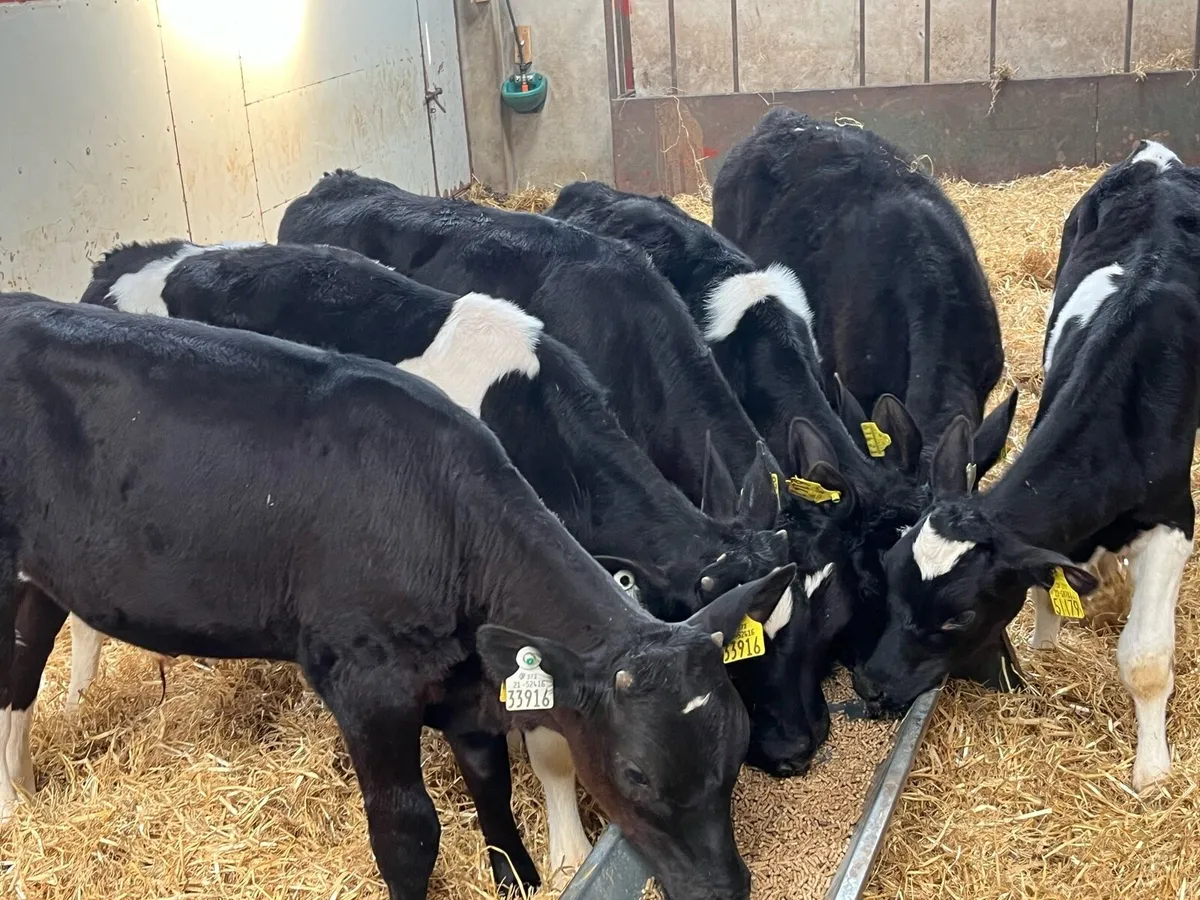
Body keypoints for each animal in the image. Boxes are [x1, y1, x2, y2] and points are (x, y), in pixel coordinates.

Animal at [0, 294, 794, 900]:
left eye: (733, 748)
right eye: (635, 775)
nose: (727, 889)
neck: (448, 518)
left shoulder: (470, 676)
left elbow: (489, 779)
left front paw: (517, 876)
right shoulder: (366, 685)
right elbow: (408, 831)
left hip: (41, 577)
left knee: (22, 668)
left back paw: (25, 795)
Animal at [854, 140, 1200, 793]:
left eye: (960, 617)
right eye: (887, 570)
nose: (871, 683)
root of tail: (1155, 153)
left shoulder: (1172, 519)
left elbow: (1145, 657)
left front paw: (1152, 770)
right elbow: (1047, 582)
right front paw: (1044, 640)